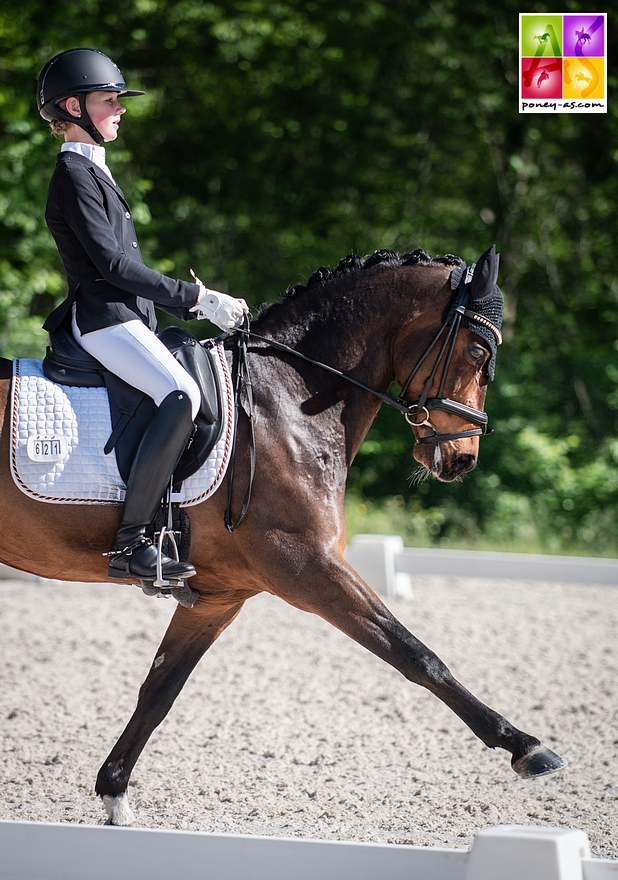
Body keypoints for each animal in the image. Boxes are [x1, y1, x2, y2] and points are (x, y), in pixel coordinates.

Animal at [0, 246, 564, 824]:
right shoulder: (306, 565)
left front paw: (114, 792)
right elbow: (417, 655)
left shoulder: (220, 597)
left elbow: (159, 689)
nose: (462, 459)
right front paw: (525, 747)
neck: (288, 404)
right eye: (477, 351)